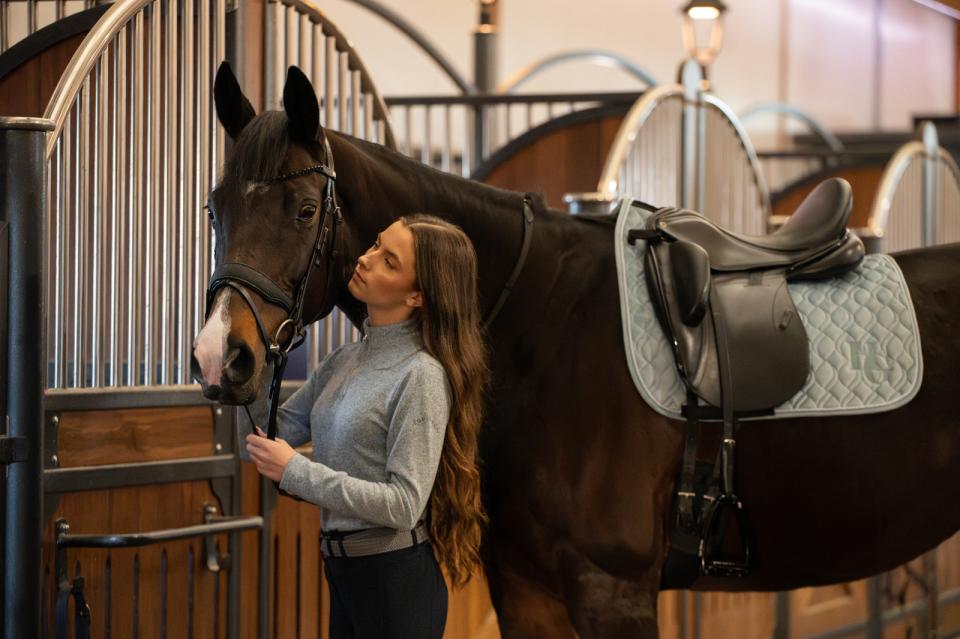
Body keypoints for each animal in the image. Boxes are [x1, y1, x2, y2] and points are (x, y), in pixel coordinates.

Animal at [193, 61, 960, 639]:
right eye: (214, 206)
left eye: (303, 212)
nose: (218, 357)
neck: (538, 323)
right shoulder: (526, 587)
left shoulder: (611, 590)